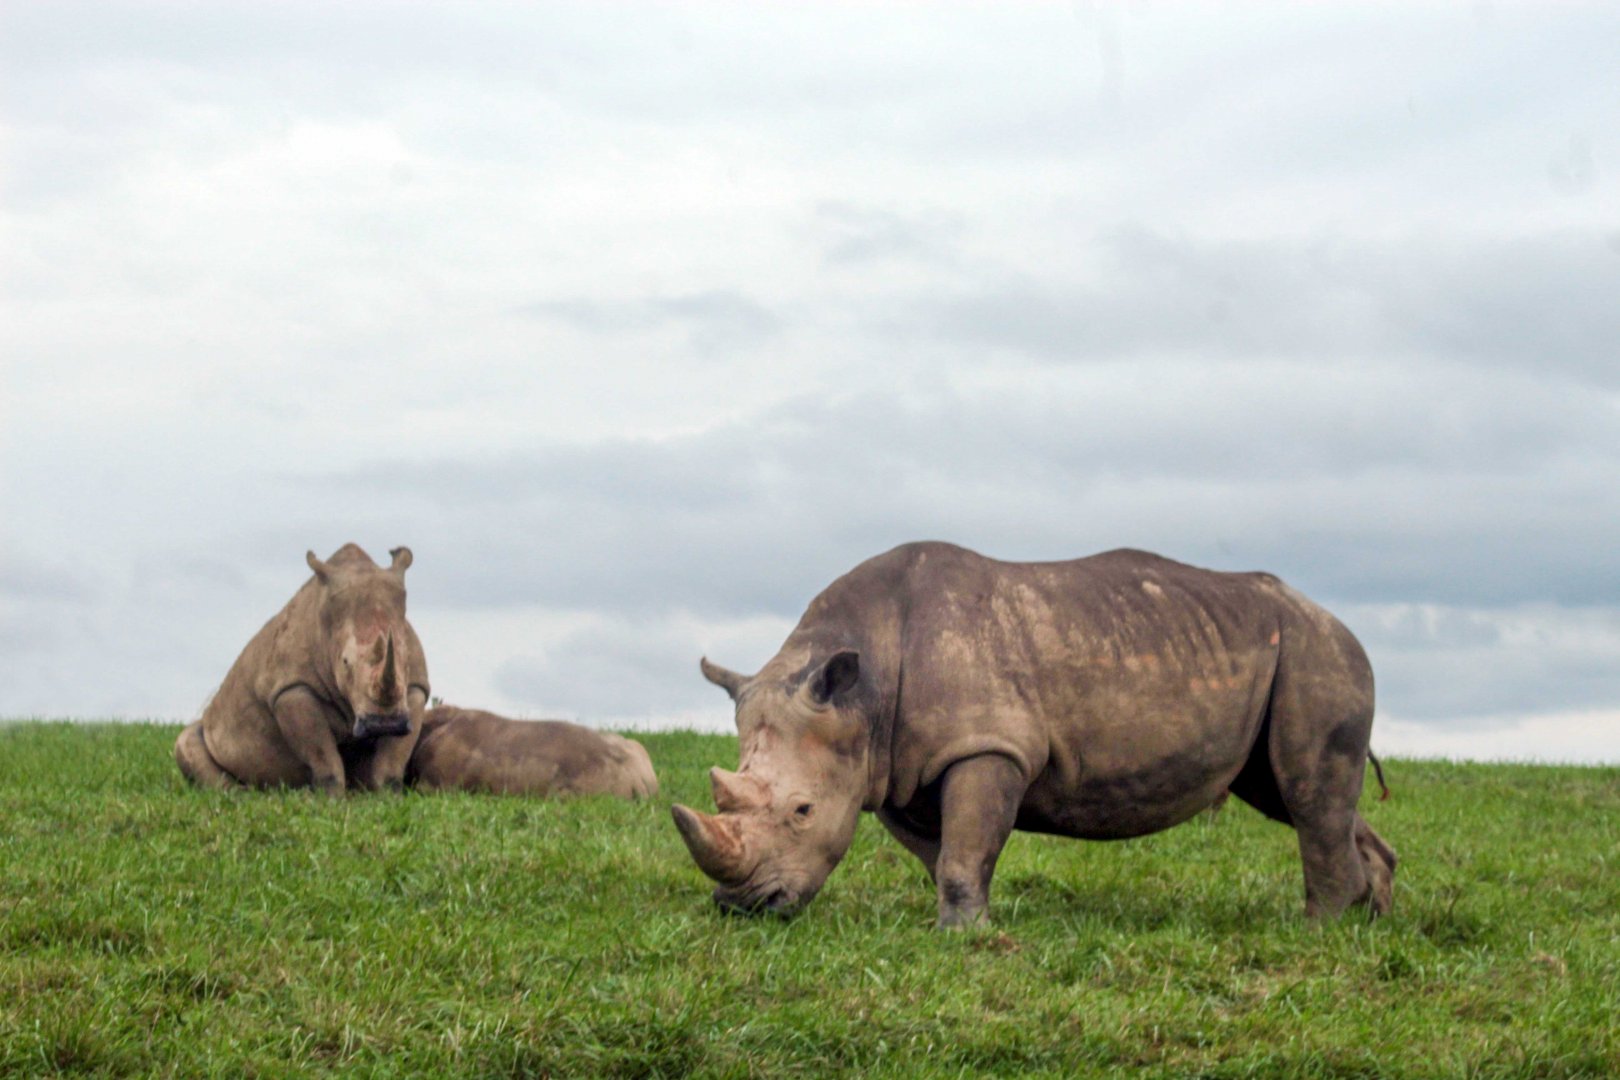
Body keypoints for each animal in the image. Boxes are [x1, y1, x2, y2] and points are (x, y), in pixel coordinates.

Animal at [174, 543, 429, 794]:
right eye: (345, 662)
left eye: (406, 660)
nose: (384, 723)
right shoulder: (291, 688)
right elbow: (322, 754)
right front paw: (330, 798)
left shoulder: (415, 688)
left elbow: (392, 759)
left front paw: (389, 795)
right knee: (186, 740)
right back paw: (242, 794)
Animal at [672, 542, 1397, 927]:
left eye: (801, 811)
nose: (741, 906)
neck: (864, 687)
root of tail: (1331, 617)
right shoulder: (893, 768)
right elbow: (943, 853)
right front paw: (965, 920)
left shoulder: (987, 744)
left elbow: (964, 852)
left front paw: (961, 935)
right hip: (1289, 652)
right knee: (1293, 794)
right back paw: (1370, 921)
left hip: (1316, 651)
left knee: (1307, 793)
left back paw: (1318, 931)